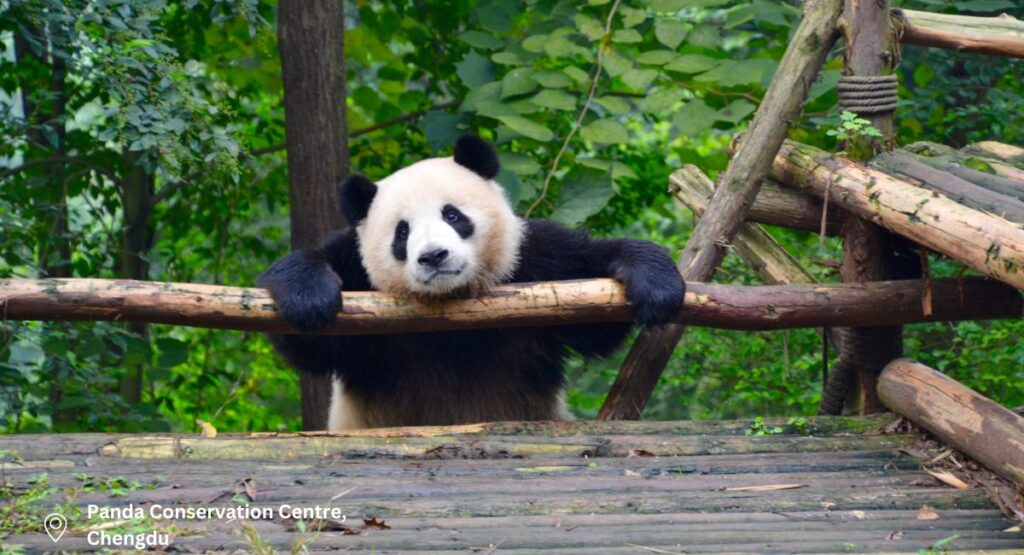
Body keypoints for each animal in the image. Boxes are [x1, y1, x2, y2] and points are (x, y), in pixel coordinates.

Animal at [259, 135, 685, 430]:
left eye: (452, 215)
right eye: (402, 233)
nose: (433, 256)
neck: (452, 301)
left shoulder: (531, 262)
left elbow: (594, 310)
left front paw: (654, 282)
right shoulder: (358, 281)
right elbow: (310, 343)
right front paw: (309, 296)